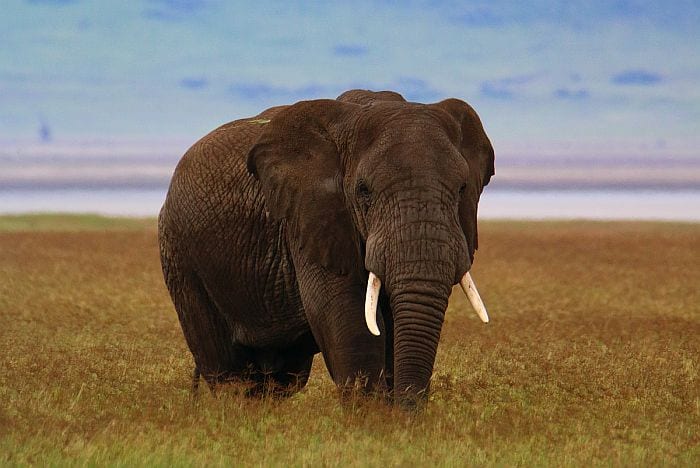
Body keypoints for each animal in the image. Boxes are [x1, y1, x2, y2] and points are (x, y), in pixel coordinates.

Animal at [158, 89, 494, 407]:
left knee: (280, 379)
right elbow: (348, 319)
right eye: (364, 191)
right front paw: (373, 418)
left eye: (463, 188)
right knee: (228, 373)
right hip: (180, 256)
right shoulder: (310, 217)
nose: (407, 413)